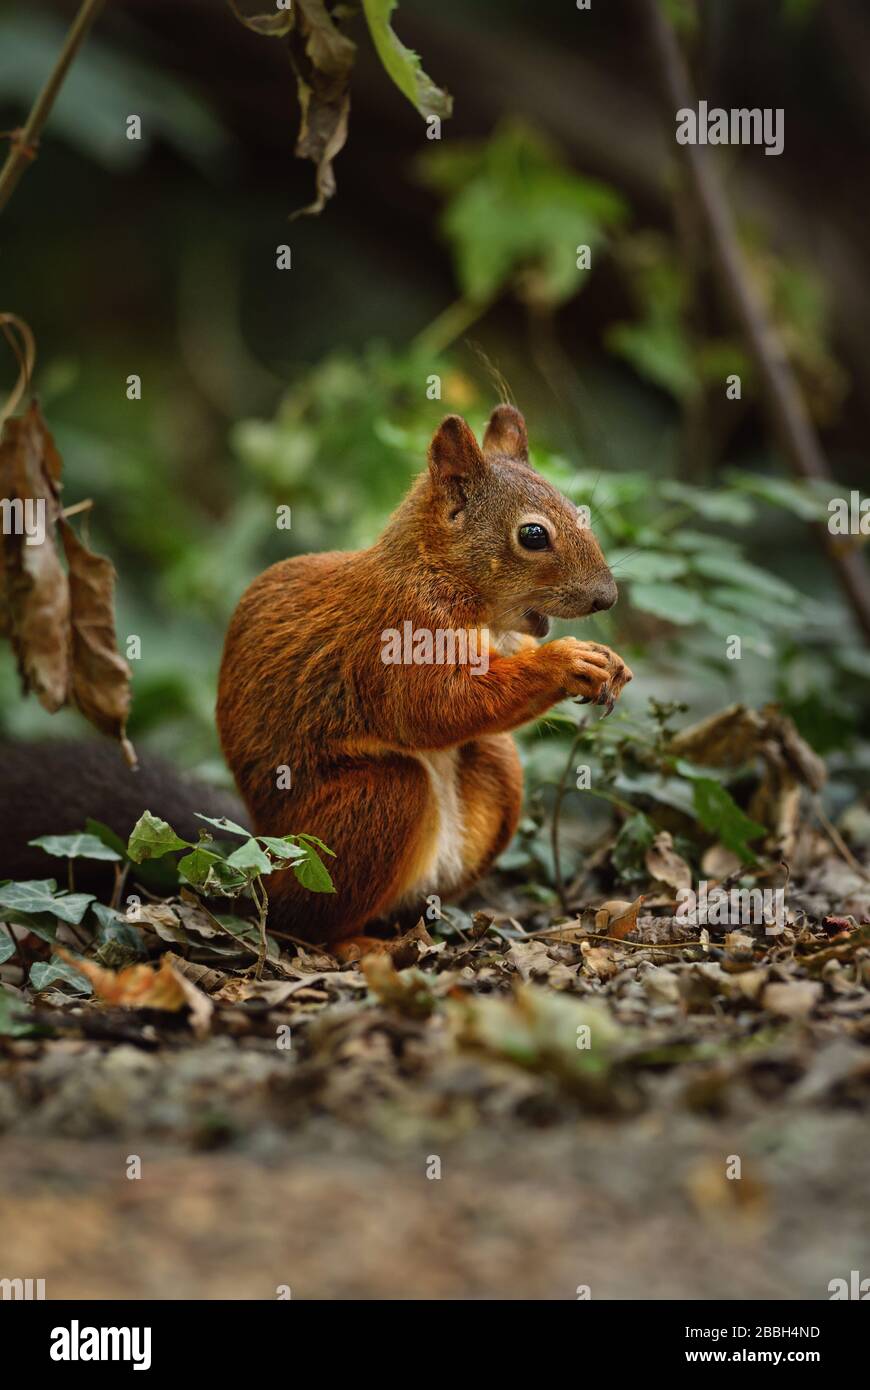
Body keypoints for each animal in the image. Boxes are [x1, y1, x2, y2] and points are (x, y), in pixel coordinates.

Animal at [214, 405, 625, 956]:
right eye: (533, 536)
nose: (607, 597)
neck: (439, 573)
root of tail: (261, 860)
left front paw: (609, 662)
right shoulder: (399, 632)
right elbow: (433, 708)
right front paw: (563, 662)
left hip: (496, 774)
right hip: (358, 815)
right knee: (302, 920)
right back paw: (358, 944)